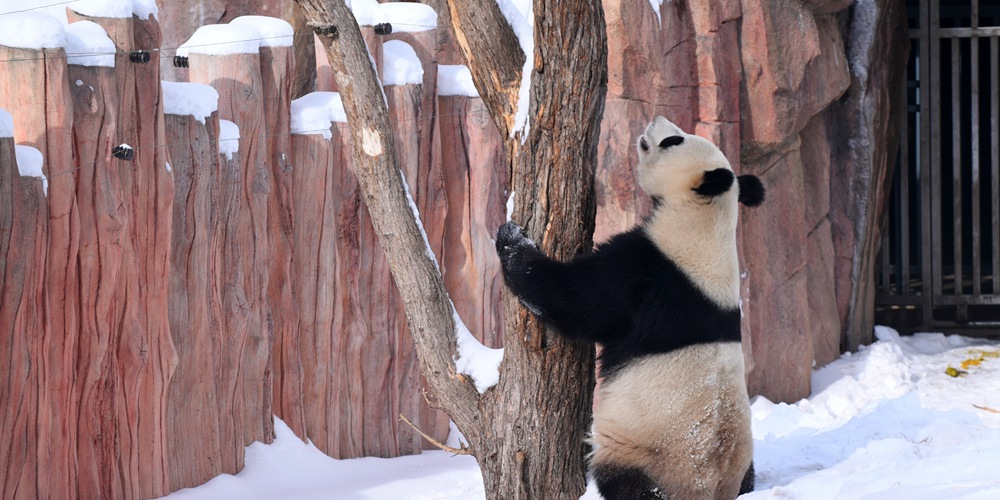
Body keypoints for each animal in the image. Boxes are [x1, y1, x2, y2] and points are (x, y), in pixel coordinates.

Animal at [494, 115, 764, 498]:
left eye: (673, 141)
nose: (656, 120)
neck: (707, 221)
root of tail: (712, 491)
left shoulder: (651, 270)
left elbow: (575, 300)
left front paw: (512, 239)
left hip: (645, 451)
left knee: (624, 479)